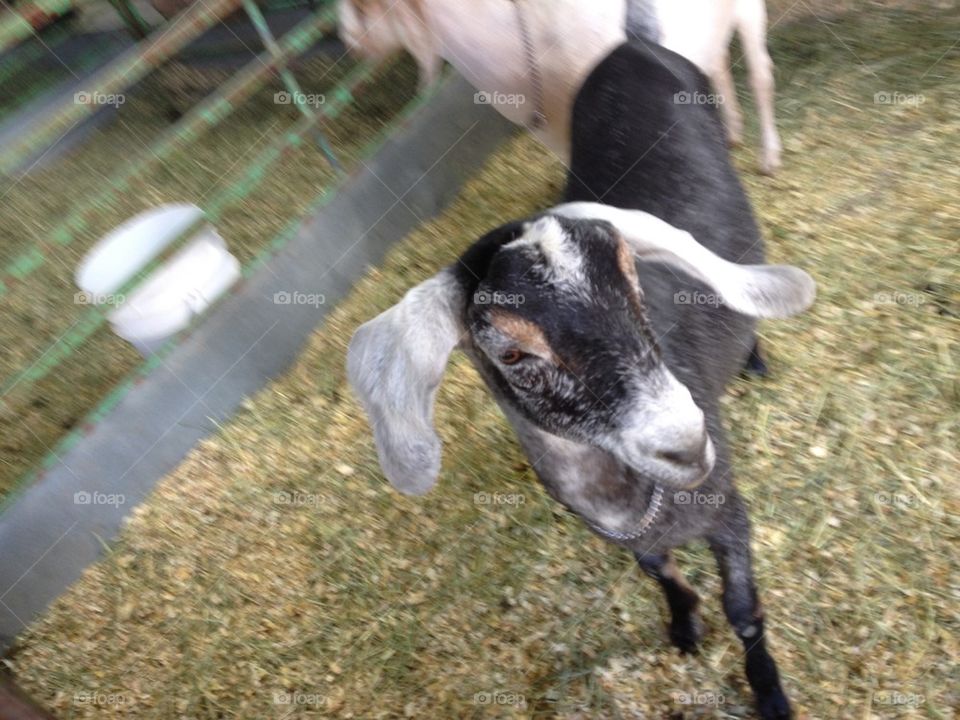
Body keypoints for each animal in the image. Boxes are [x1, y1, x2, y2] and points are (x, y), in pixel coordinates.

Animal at [338, 0, 782, 173]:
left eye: (360, 6)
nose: (345, 39)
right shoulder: (556, 134)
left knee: (761, 74)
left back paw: (768, 156)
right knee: (721, 66)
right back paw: (733, 135)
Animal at [348, 39, 812, 718]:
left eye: (633, 280)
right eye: (511, 353)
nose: (688, 444)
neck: (620, 498)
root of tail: (631, 42)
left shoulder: (729, 509)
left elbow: (745, 610)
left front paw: (771, 693)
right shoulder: (633, 538)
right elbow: (659, 570)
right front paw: (683, 624)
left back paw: (754, 358)